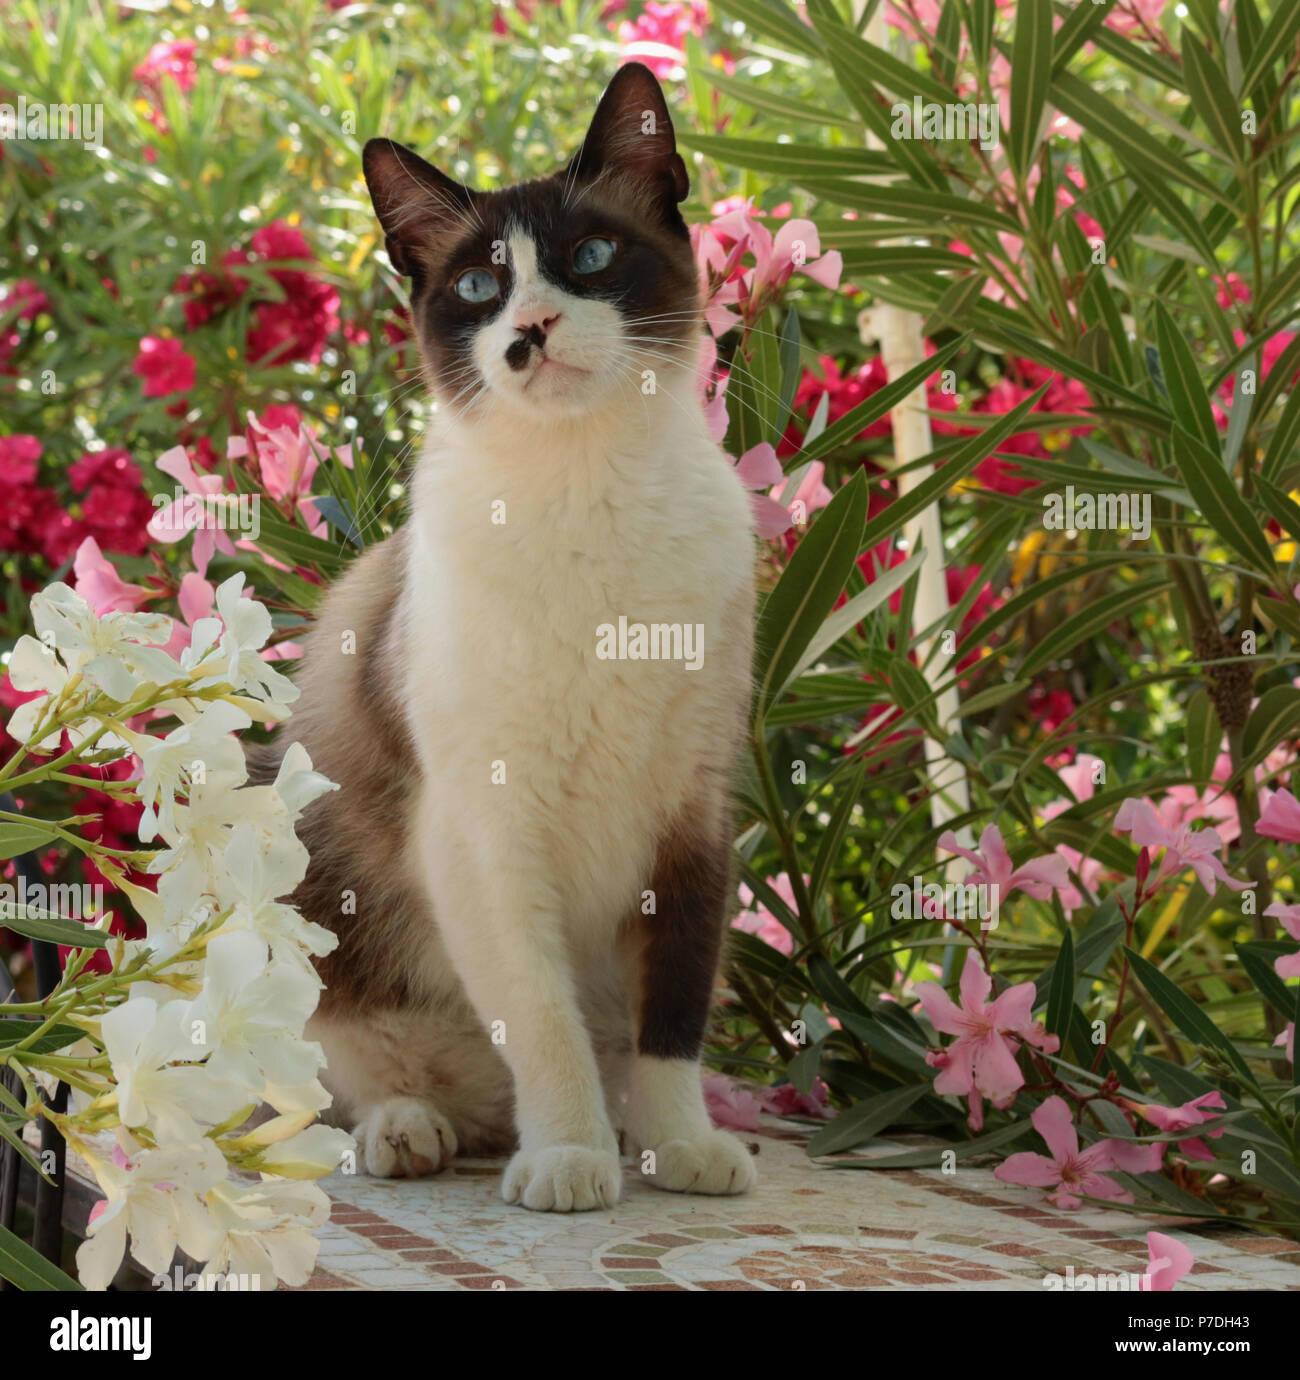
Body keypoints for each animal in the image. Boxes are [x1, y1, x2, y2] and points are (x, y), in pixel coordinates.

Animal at [264, 59, 756, 1214]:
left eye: (589, 261)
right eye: (480, 291)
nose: (528, 329)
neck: (589, 492)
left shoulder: (694, 811)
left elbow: (672, 1014)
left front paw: (679, 1150)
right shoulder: (486, 829)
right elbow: (541, 1017)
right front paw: (571, 1162)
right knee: (335, 1090)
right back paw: (418, 1133)